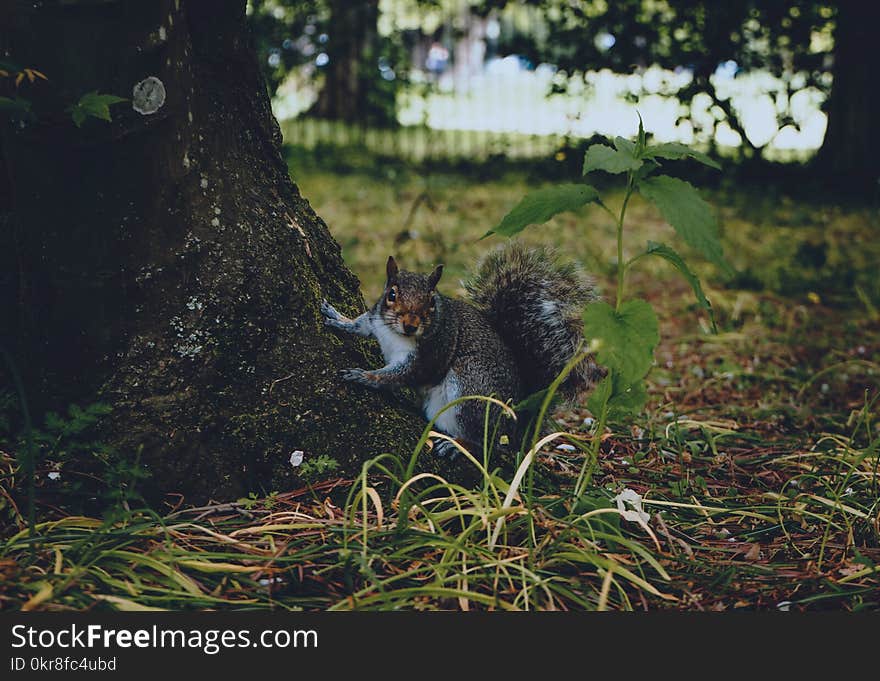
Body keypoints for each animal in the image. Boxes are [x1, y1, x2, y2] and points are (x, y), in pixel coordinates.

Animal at [320, 240, 600, 456]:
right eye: (391, 294)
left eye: (431, 302)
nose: (411, 325)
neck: (396, 334)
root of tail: (512, 424)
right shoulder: (375, 321)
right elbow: (360, 325)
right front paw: (337, 318)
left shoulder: (431, 354)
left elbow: (399, 375)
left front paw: (364, 376)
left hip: (470, 385)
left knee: (486, 442)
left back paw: (459, 444)